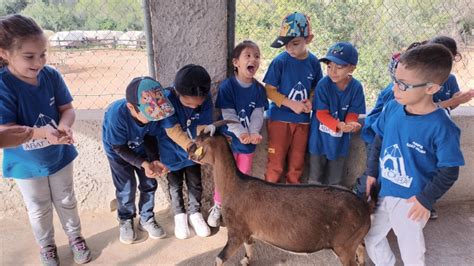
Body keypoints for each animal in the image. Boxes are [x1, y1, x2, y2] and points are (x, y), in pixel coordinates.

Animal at [188, 131, 370, 266]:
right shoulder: (247, 230)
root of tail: (365, 209)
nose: (188, 151)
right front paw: (246, 260)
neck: (234, 185)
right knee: (362, 247)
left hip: (344, 246)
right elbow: (249, 244)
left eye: (197, 142)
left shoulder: (236, 230)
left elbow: (220, 258)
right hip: (353, 241)